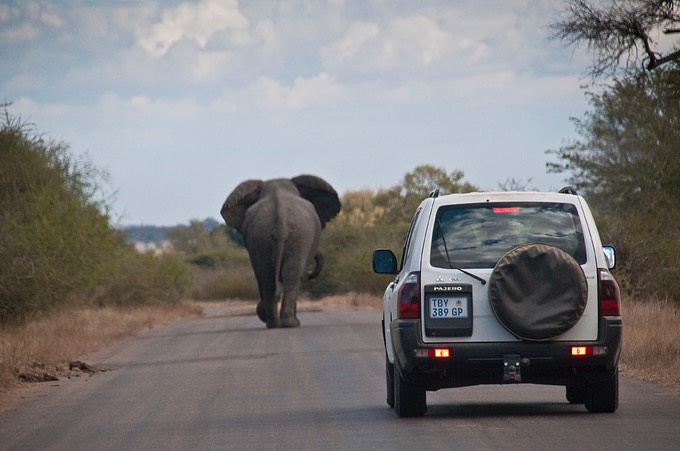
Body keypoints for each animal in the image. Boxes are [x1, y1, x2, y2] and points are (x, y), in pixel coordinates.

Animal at [222, 174, 342, 328]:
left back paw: (274, 324)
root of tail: (280, 223)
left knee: (267, 277)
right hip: (300, 236)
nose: (310, 275)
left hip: (260, 236)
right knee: (291, 275)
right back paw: (290, 323)